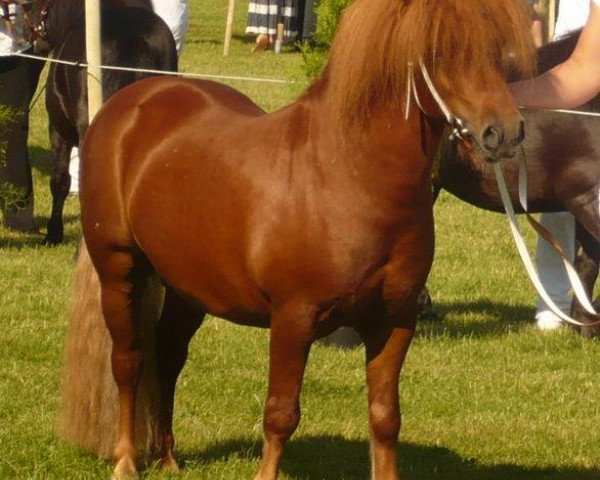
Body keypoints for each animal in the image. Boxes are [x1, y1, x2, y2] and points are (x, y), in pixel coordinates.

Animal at [59, 0, 536, 478]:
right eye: (438, 51)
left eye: (496, 51)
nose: (504, 132)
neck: (348, 174)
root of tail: (130, 103)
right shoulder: (293, 320)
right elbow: (281, 414)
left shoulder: (395, 320)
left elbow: (385, 417)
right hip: (120, 271)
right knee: (129, 360)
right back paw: (125, 459)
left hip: (187, 288)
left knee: (168, 357)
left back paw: (168, 459)